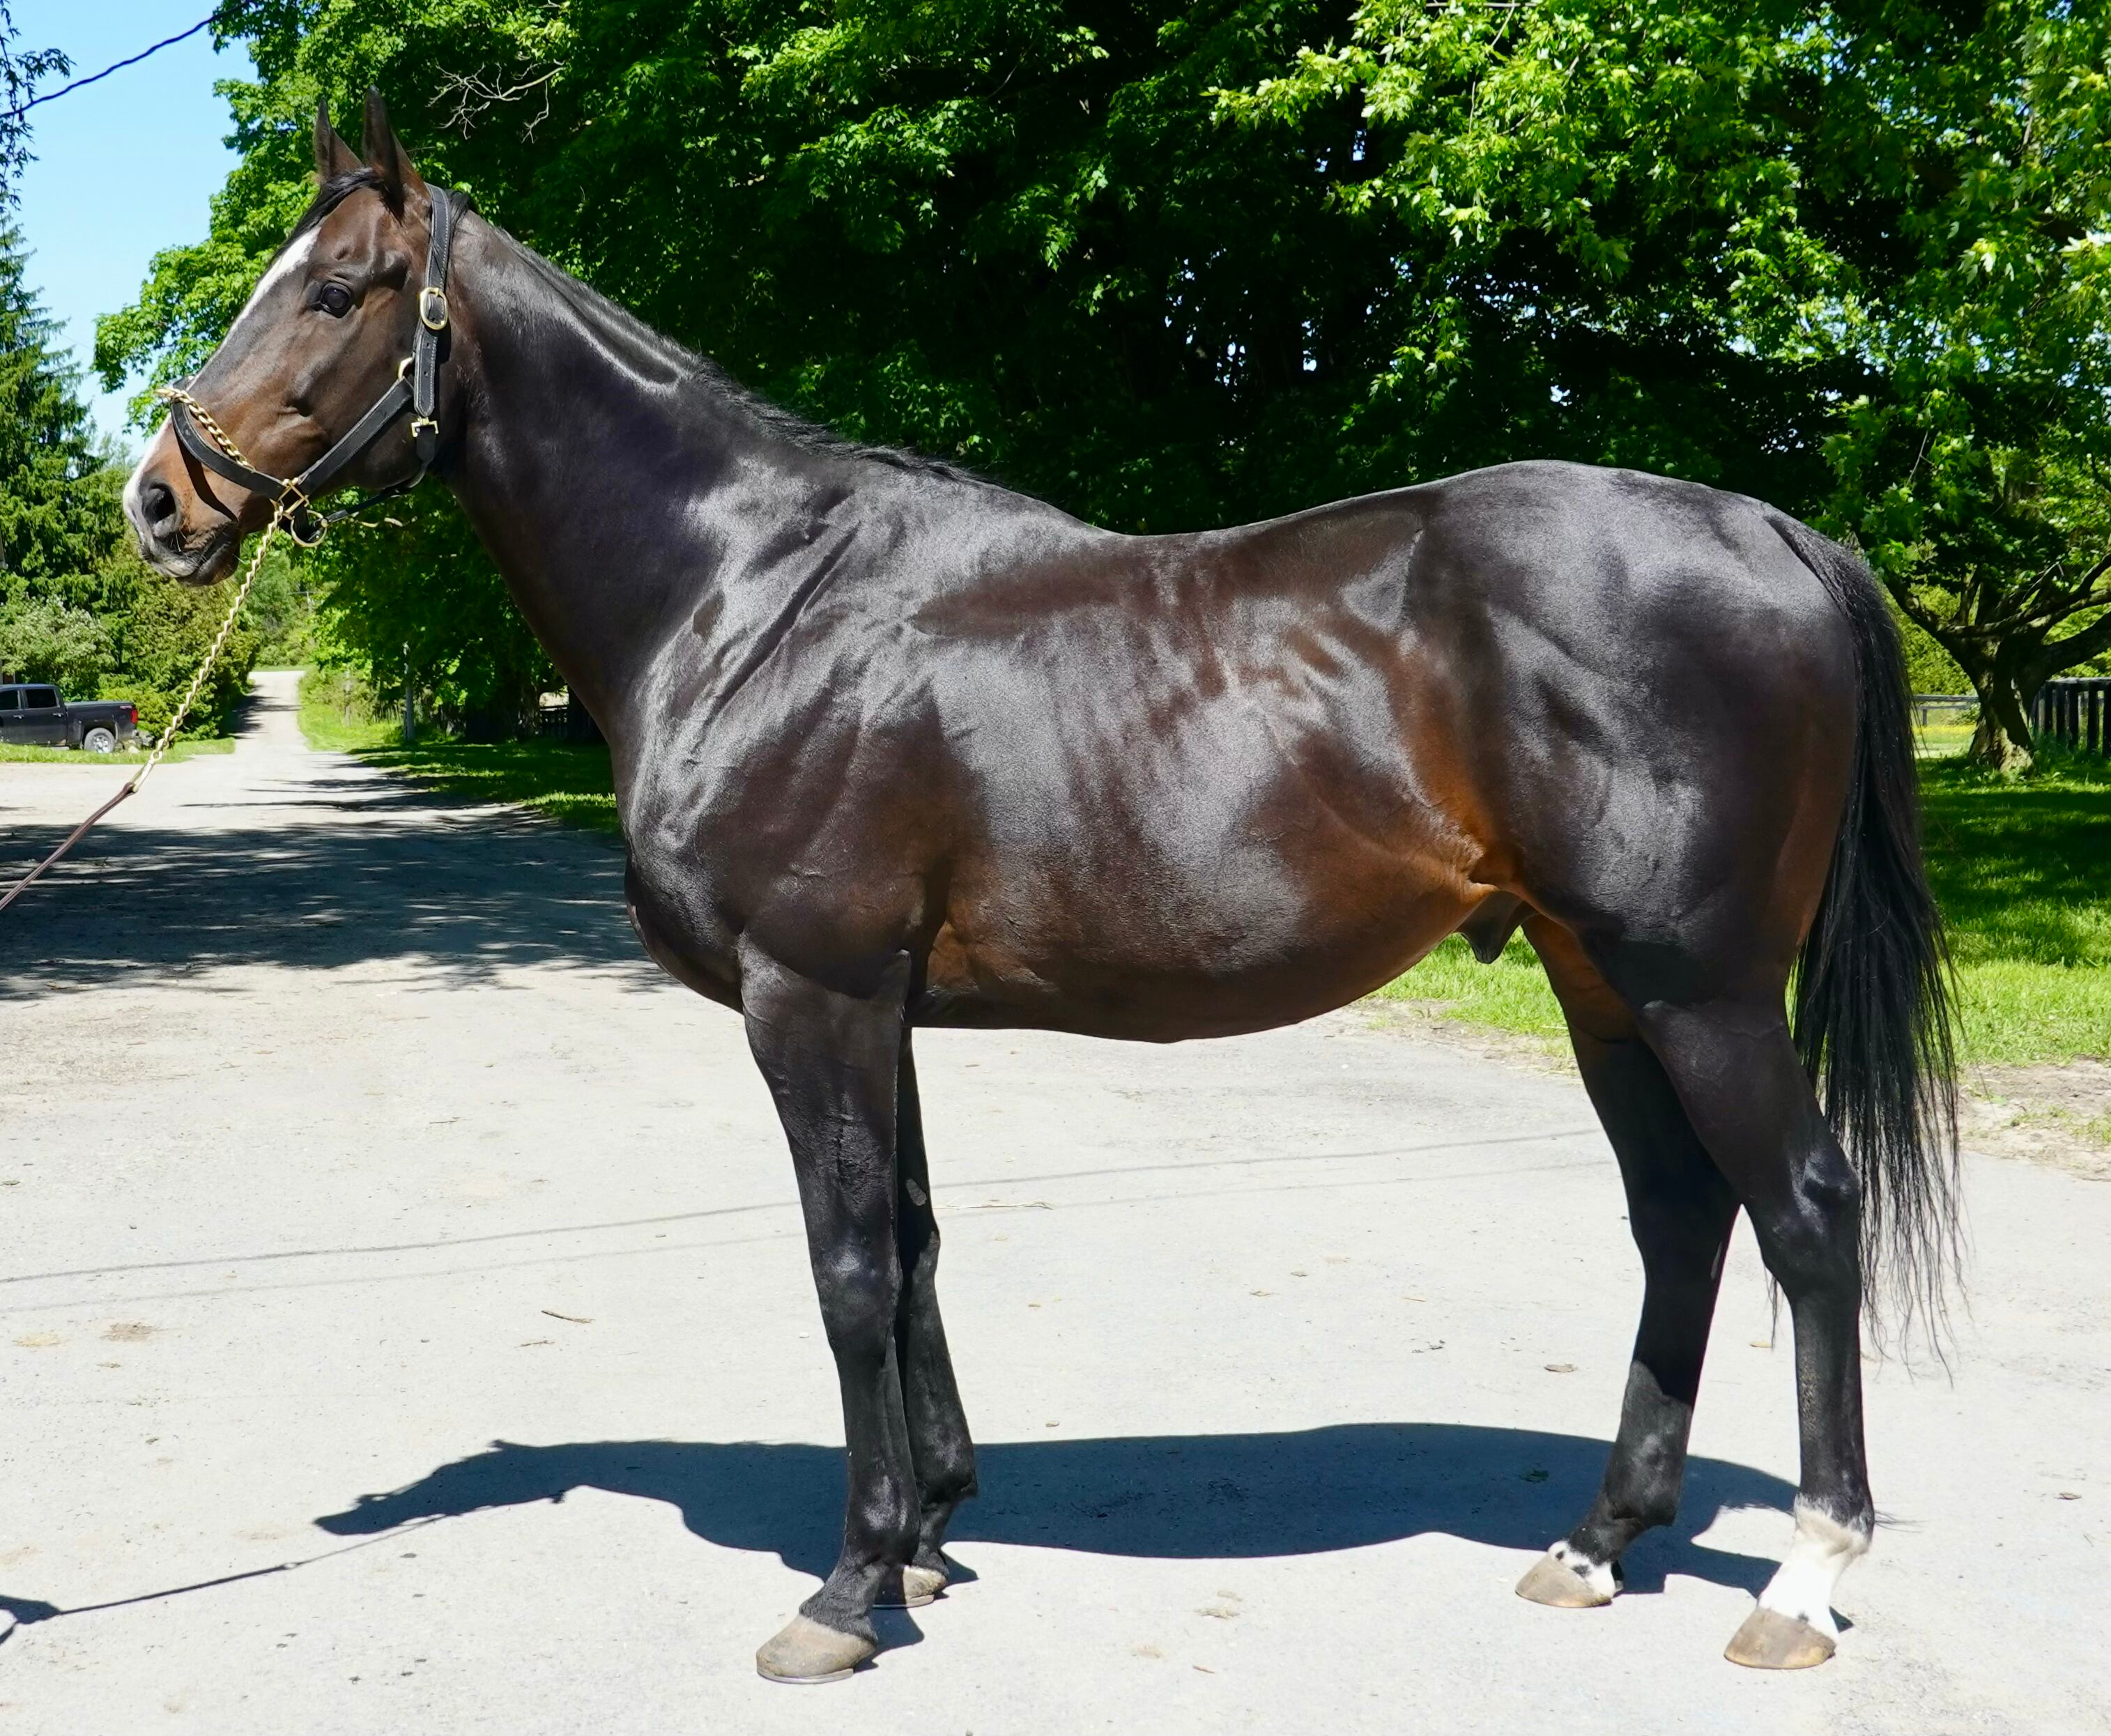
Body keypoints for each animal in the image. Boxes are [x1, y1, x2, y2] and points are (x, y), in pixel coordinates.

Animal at [123, 95, 1950, 1689]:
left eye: (339, 289)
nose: (161, 499)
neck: (750, 599)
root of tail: (1772, 530)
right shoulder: (880, 1004)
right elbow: (916, 1242)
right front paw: (929, 1533)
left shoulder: (811, 994)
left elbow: (849, 1264)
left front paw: (846, 1586)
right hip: (1591, 976)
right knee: (1678, 1216)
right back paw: (1595, 1538)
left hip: (1697, 987)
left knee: (1803, 1213)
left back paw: (1801, 1576)